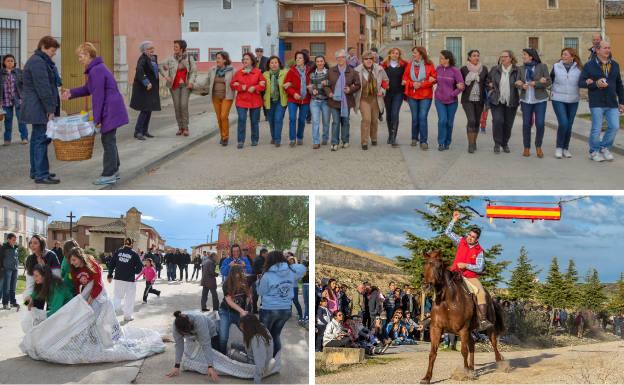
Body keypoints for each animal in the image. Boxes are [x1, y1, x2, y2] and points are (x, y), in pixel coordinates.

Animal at [416, 249, 504, 380]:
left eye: (439, 266)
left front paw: (465, 373)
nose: (426, 286)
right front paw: (427, 377)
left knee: (493, 344)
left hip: (489, 328)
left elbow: (463, 351)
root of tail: (490, 298)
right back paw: (471, 370)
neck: (447, 302)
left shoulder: (463, 329)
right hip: (470, 330)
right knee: (472, 344)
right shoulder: (436, 328)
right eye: (425, 264)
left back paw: (500, 365)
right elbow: (433, 353)